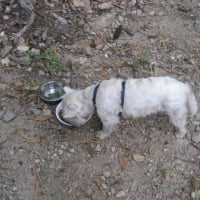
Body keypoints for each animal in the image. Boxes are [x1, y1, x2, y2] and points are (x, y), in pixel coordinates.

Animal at [61, 76, 198, 140]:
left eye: (68, 118)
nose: (72, 126)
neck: (93, 96)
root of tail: (184, 87)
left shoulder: (108, 118)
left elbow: (107, 128)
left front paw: (101, 134)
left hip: (176, 112)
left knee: (181, 124)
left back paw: (180, 134)